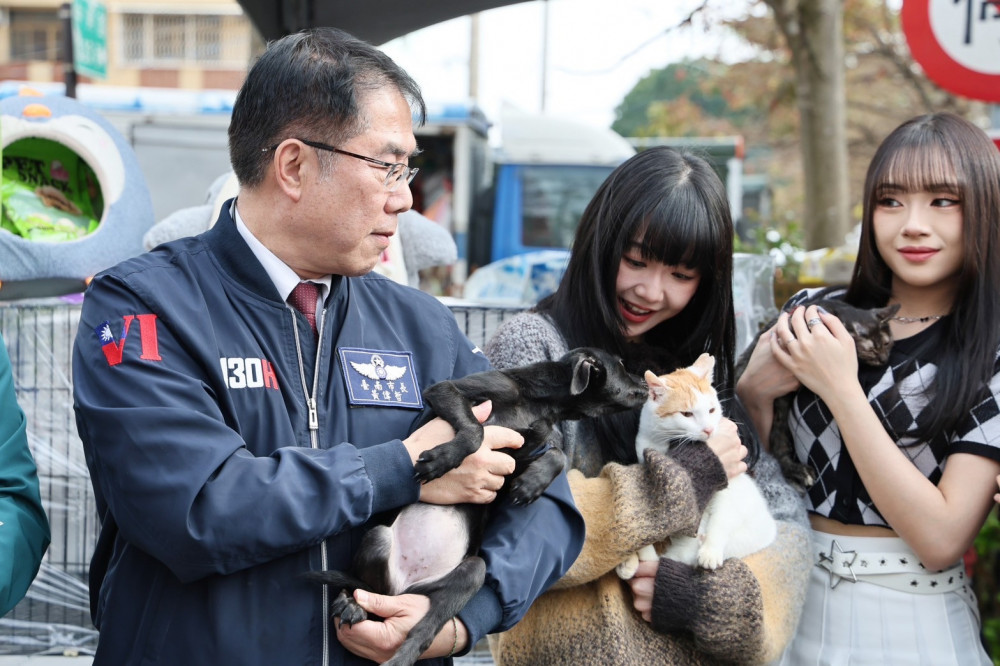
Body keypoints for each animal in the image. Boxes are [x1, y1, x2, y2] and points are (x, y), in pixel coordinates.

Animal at [306, 348, 648, 664]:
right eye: (621, 365)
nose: (646, 381)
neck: (538, 404)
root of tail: (405, 588)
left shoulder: (510, 468)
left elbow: (557, 455)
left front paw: (532, 484)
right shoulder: (448, 391)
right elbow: (476, 431)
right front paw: (443, 460)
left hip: (471, 573)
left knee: (423, 626)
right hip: (379, 540)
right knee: (371, 590)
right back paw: (352, 604)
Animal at [616, 352, 772, 576]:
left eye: (712, 410)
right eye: (687, 414)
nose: (708, 429)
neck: (668, 443)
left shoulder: (729, 493)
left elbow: (721, 522)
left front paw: (711, 552)